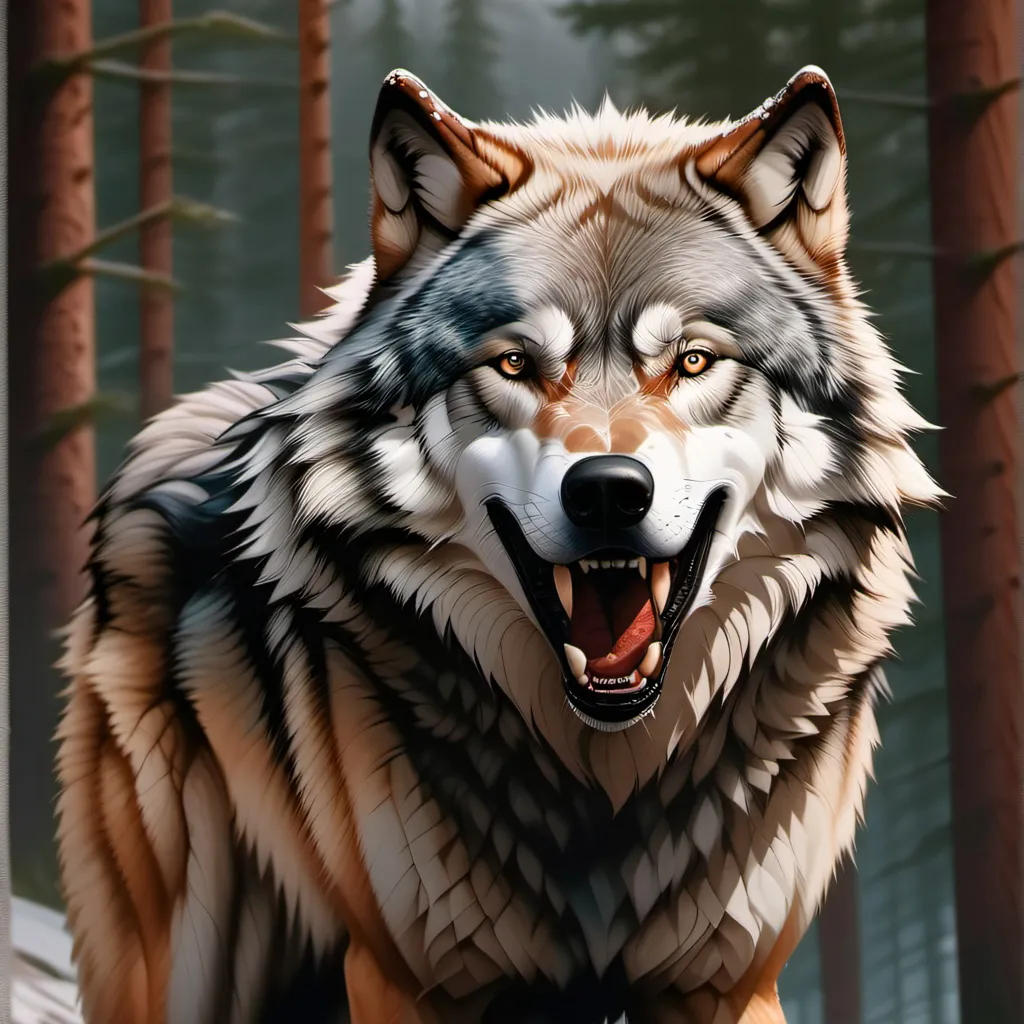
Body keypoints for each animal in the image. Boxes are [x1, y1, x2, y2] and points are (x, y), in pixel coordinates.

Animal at [55, 66, 940, 1024]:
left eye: (695, 361)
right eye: (514, 364)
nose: (608, 491)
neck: (606, 779)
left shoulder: (727, 982)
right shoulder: (411, 979)